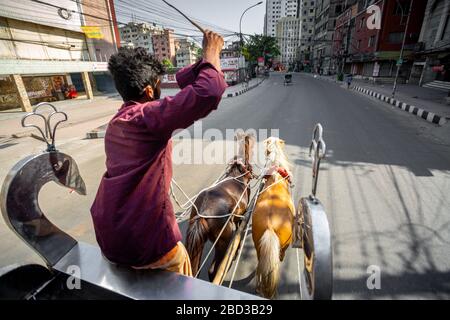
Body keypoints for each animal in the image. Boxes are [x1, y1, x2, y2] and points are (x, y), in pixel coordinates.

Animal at [185, 132, 255, 280]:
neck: (237, 176)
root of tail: (203, 212)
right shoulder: (242, 213)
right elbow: (239, 228)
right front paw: (237, 248)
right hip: (222, 241)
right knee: (213, 270)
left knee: (196, 268)